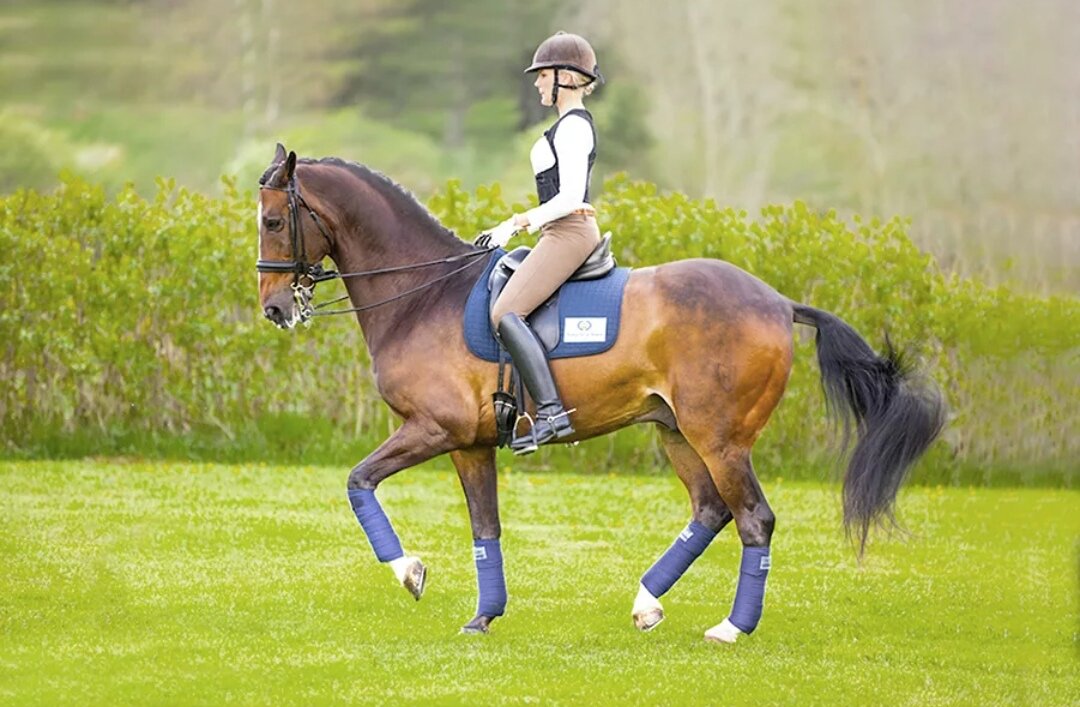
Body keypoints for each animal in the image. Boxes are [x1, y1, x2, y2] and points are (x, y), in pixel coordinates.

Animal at [254, 143, 946, 643]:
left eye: (272, 220)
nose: (274, 310)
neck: (423, 296)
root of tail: (778, 302)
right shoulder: (469, 444)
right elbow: (485, 526)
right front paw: (484, 616)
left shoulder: (433, 429)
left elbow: (358, 482)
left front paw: (411, 572)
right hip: (676, 433)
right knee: (710, 511)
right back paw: (646, 604)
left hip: (720, 438)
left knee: (754, 518)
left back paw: (730, 629)